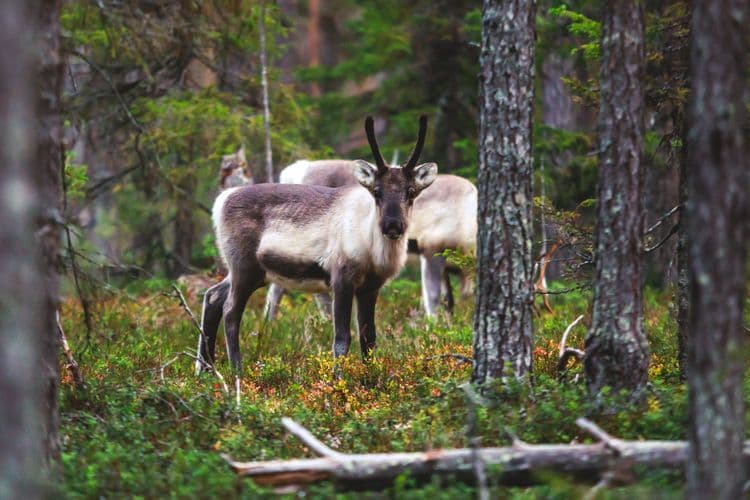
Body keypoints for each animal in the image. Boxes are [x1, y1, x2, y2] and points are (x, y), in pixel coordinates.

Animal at [196, 116, 437, 375]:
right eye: (376, 191)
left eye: (410, 191)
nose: (393, 225)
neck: (371, 249)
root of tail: (221, 201)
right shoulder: (341, 278)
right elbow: (342, 338)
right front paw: (338, 379)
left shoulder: (370, 287)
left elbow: (369, 337)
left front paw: (370, 375)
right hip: (244, 267)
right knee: (230, 311)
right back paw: (236, 371)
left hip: (252, 272)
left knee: (212, 296)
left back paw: (204, 370)